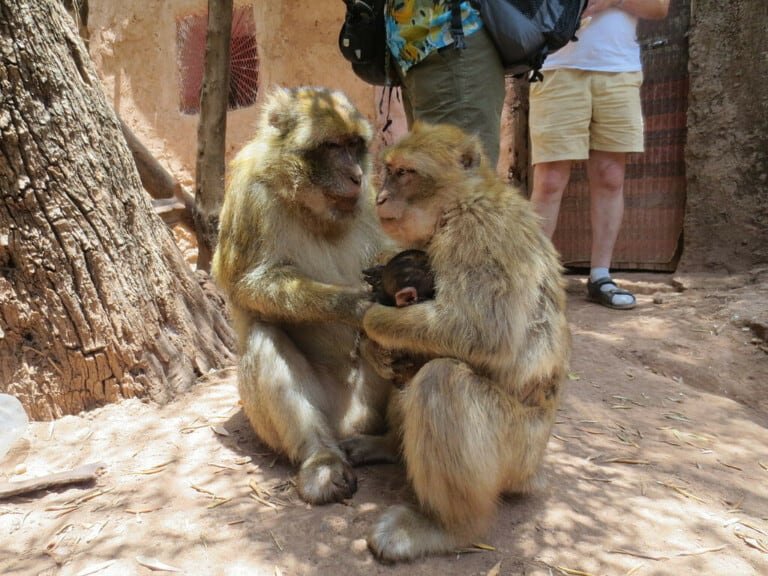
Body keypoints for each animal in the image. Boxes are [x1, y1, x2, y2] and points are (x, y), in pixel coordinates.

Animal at [211, 86, 394, 505]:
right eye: (332, 146)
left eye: (354, 145)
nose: (357, 175)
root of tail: (349, 423)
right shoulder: (249, 196)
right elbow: (251, 283)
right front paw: (357, 307)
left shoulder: (369, 199)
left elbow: (386, 255)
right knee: (264, 335)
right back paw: (321, 461)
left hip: (370, 407)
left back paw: (386, 444)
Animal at [343, 122, 571, 562]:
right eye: (388, 170)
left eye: (404, 173)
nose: (380, 197)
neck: (456, 206)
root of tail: (534, 468)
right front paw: (376, 339)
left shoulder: (480, 231)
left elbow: (482, 334)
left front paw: (369, 315)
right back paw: (388, 445)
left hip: (517, 449)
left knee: (442, 379)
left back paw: (449, 527)